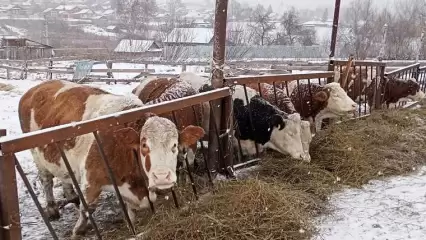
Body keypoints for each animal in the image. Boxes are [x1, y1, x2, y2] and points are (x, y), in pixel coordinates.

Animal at [19, 80, 206, 236]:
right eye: (144, 145)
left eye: (174, 145)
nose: (162, 177)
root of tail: (34, 89)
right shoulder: (90, 179)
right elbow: (89, 207)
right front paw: (78, 230)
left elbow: (128, 210)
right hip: (37, 156)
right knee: (46, 180)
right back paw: (52, 209)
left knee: (65, 177)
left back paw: (71, 196)